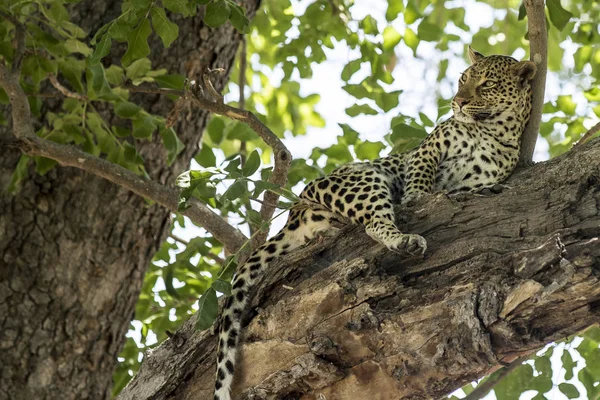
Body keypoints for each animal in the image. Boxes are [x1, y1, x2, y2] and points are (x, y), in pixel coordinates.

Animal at [213, 47, 536, 400]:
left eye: (487, 84)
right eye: (463, 80)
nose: (458, 102)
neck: (492, 130)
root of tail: (295, 211)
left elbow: (462, 186)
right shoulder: (426, 150)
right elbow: (420, 176)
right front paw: (414, 197)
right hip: (363, 177)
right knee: (373, 222)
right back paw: (404, 239)